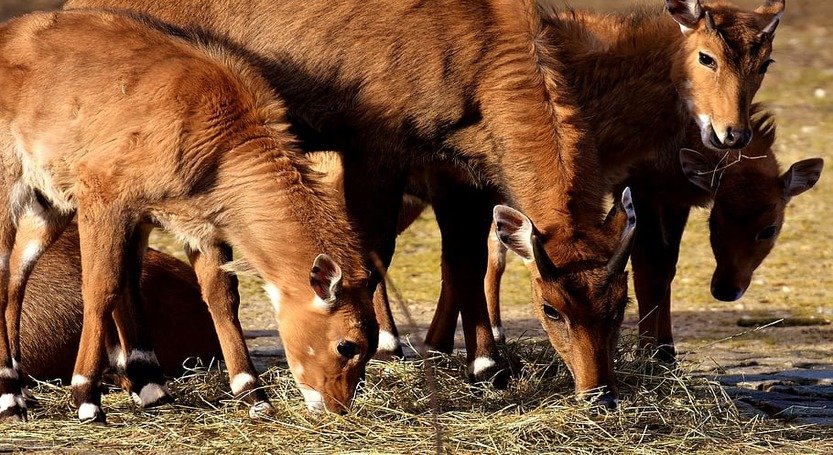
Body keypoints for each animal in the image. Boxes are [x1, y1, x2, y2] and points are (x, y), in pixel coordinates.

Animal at [66, 0, 636, 400]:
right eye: (550, 308)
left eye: (619, 304)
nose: (600, 394)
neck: (484, 43)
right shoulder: (377, 148)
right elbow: (376, 249)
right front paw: (389, 347)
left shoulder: (460, 168)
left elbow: (466, 260)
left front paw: (487, 365)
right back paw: (147, 378)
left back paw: (145, 375)